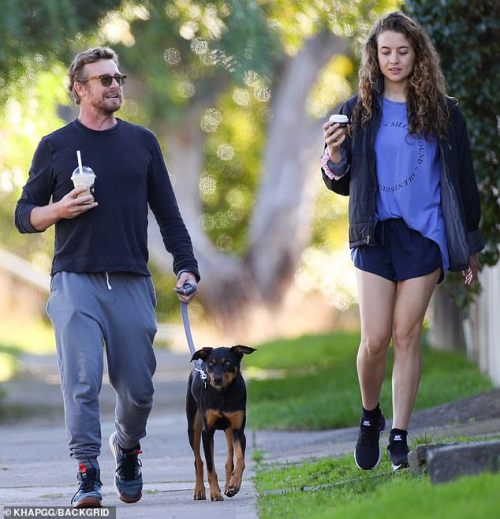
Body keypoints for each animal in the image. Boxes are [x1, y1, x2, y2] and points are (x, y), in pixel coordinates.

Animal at [186, 346, 256, 500]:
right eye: (211, 364)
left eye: (227, 363)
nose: (216, 379)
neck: (223, 394)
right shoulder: (207, 431)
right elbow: (210, 467)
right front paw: (214, 493)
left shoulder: (238, 430)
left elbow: (240, 460)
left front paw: (234, 485)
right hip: (193, 427)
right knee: (199, 461)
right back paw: (199, 491)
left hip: (229, 431)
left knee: (229, 461)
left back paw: (227, 485)